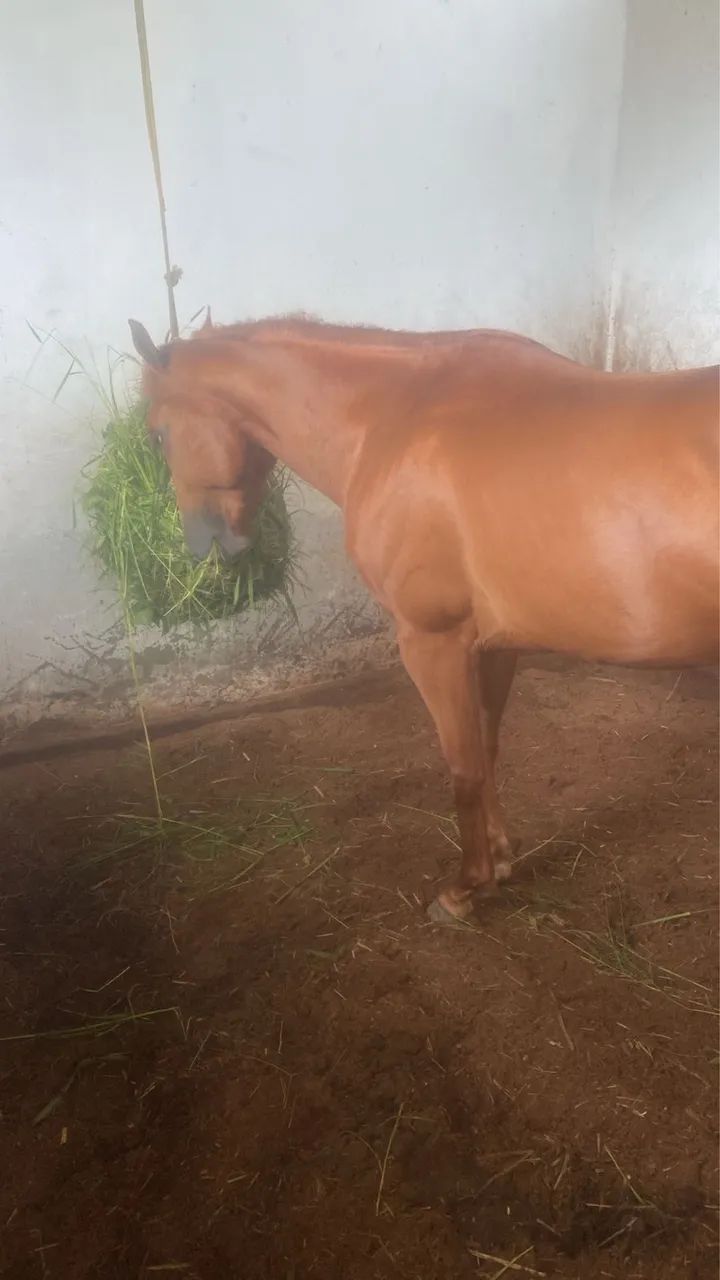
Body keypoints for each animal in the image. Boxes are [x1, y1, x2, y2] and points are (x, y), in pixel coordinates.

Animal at [128, 314, 719, 923]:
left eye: (156, 434)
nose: (204, 546)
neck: (394, 418)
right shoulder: (492, 643)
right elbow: (485, 748)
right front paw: (500, 860)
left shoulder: (432, 641)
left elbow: (462, 767)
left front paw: (463, 889)